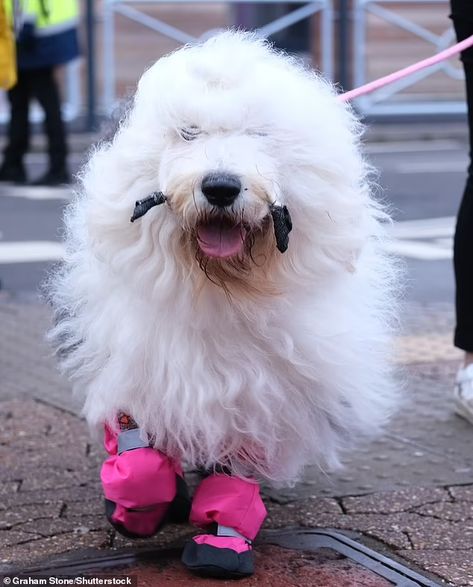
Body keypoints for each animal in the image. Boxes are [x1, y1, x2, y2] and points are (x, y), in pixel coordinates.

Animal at [48, 31, 394, 486]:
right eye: (188, 132)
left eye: (259, 133)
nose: (220, 187)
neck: (221, 289)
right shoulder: (136, 368)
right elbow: (138, 445)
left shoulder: (255, 400)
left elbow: (237, 462)